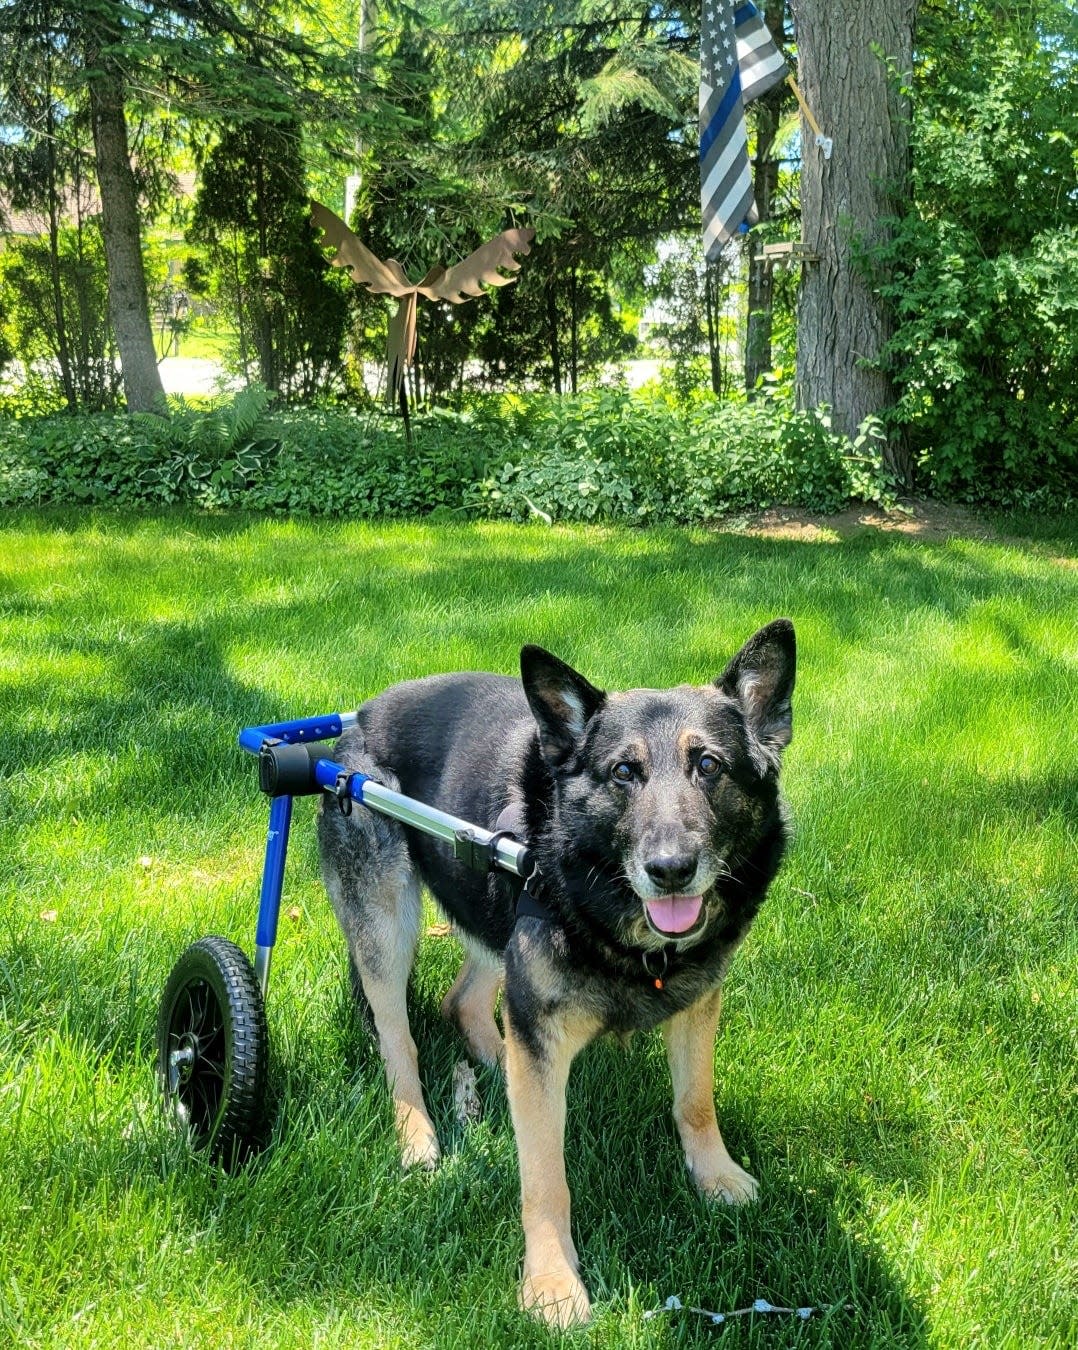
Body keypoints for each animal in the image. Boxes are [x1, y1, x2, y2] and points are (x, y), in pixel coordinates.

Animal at [315, 621, 798, 1328]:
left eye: (708, 765)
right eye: (624, 772)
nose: (671, 870)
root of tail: (362, 717)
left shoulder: (695, 1004)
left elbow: (695, 1101)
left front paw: (715, 1174)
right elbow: (545, 1176)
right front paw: (550, 1281)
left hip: (494, 914)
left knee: (465, 1002)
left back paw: (494, 1056)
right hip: (387, 923)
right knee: (397, 1036)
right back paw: (417, 1133)